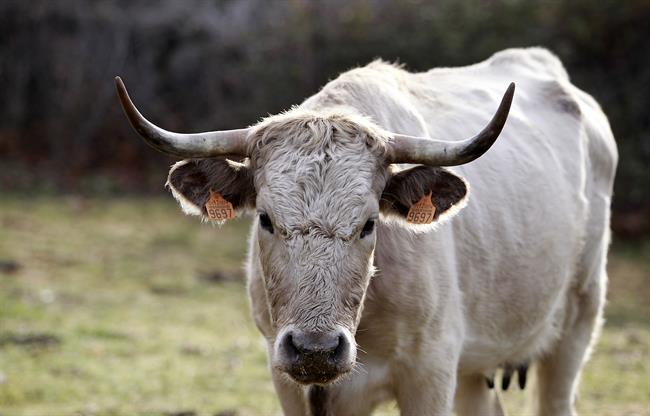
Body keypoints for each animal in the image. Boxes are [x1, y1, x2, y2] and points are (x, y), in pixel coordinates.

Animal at [116, 47, 617, 416]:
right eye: (266, 219)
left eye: (369, 223)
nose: (315, 349)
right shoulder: (287, 379)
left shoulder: (430, 372)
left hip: (578, 321)